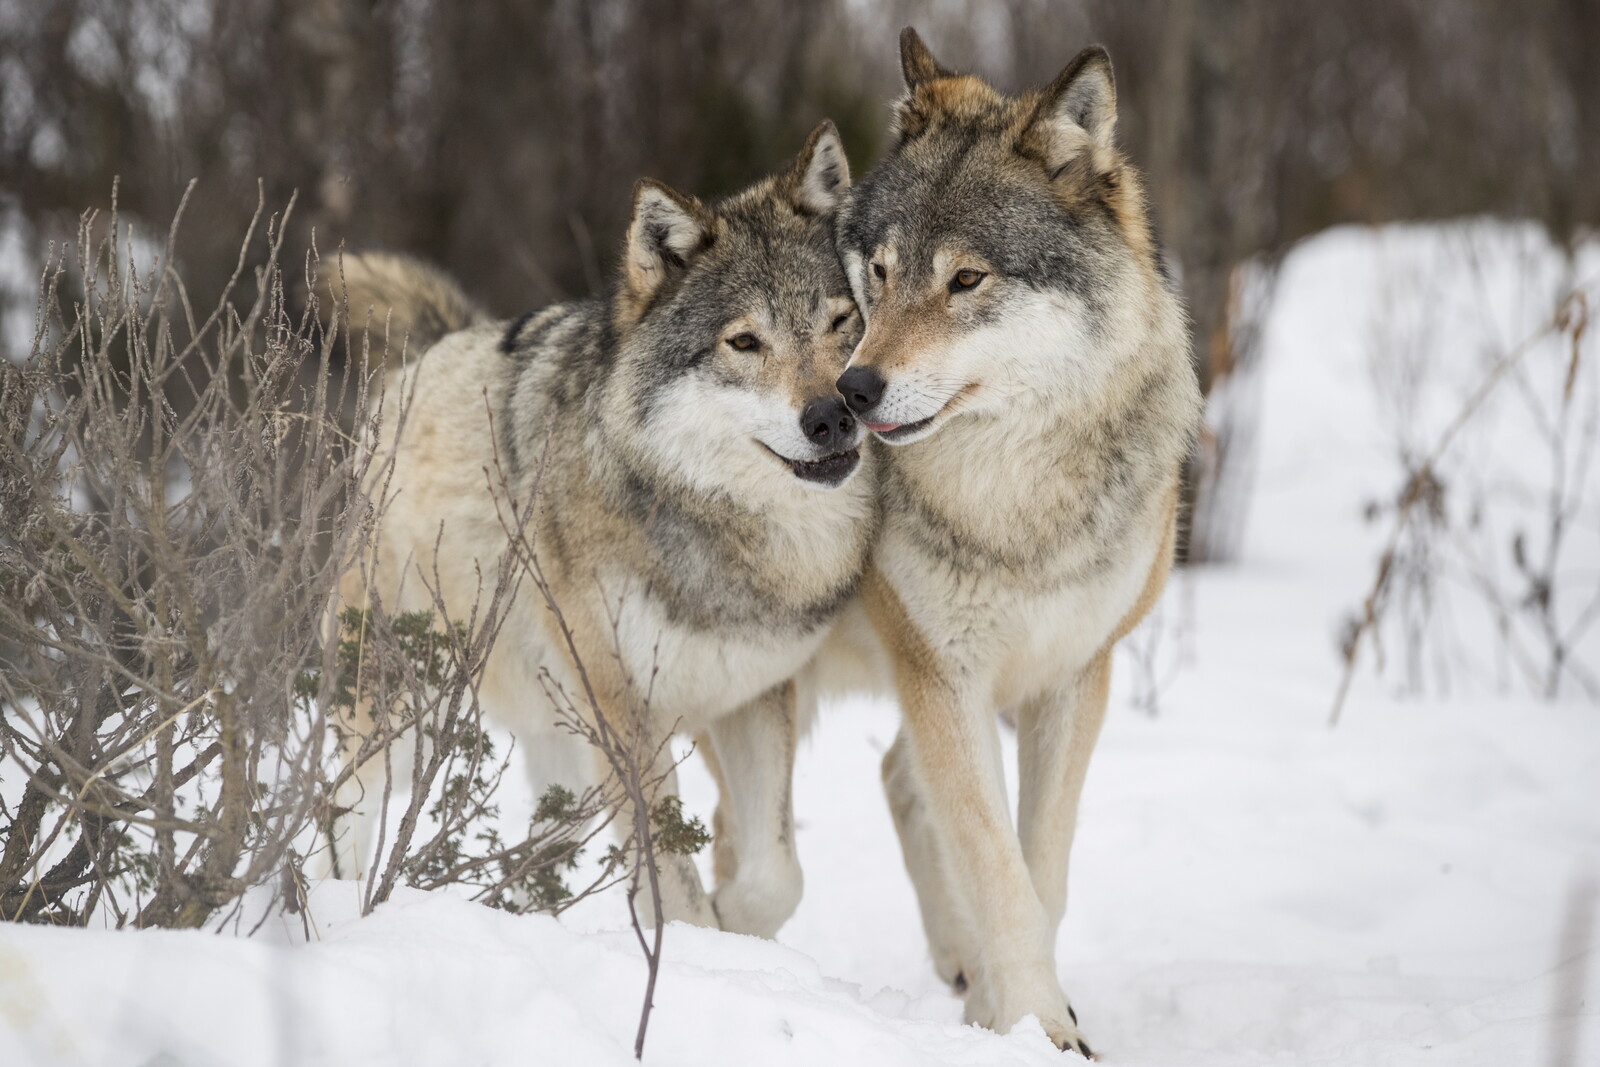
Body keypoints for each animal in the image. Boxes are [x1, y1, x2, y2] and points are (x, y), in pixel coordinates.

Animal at [324, 122, 875, 938]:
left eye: (841, 322)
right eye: (744, 343)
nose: (832, 416)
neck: (721, 530)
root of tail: (421, 357)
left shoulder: (752, 697)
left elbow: (776, 875)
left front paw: (737, 927)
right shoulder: (626, 717)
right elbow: (674, 885)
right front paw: (702, 944)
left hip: (562, 751)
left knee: (536, 850)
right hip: (401, 712)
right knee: (338, 812)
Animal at [826, 30, 1202, 1055]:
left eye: (966, 280)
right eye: (881, 272)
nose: (853, 391)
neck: (1013, 506)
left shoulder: (1074, 677)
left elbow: (1043, 869)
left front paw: (1026, 1017)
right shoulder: (942, 675)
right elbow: (1002, 876)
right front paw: (1036, 1023)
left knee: (895, 775)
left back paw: (962, 973)